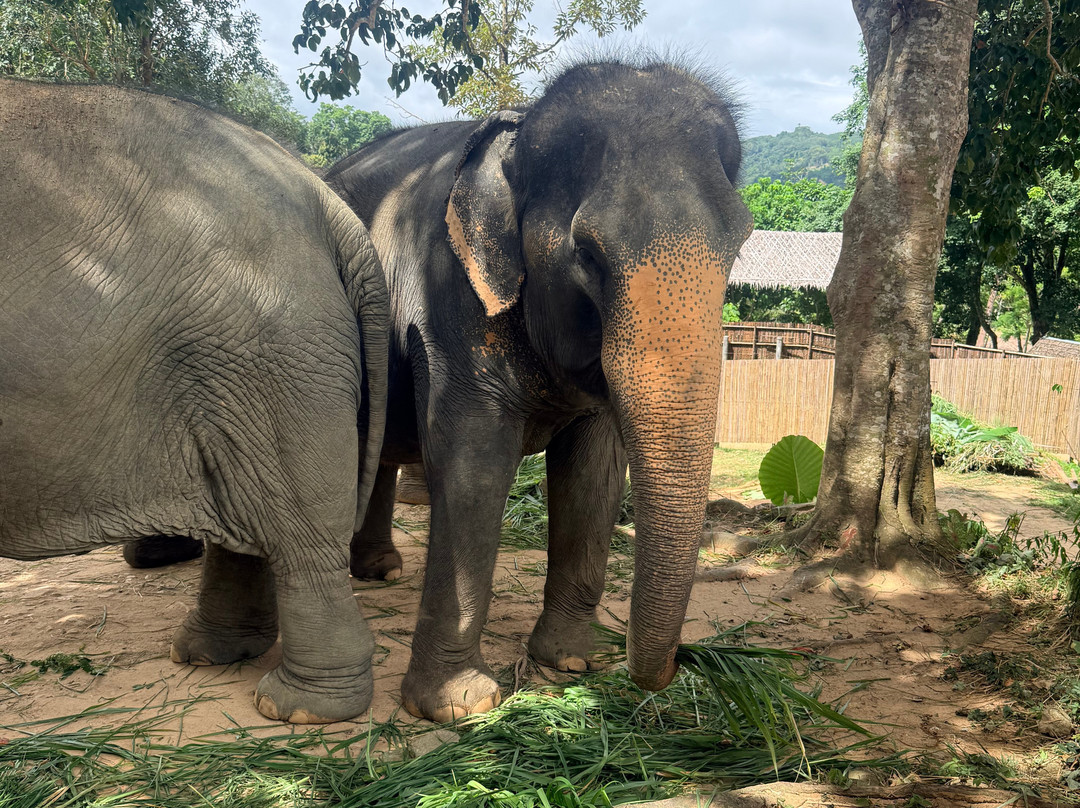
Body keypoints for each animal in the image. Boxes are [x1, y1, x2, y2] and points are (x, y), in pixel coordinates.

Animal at [0, 80, 388, 724]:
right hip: (239, 367)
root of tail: (324, 201)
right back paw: (209, 655)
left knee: (296, 525)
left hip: (269, 355)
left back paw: (298, 708)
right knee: (245, 509)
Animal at [321, 58, 753, 722]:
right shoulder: (450, 300)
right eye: (588, 254)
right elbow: (473, 464)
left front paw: (572, 662)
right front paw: (460, 706)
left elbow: (593, 472)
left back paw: (379, 571)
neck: (522, 131)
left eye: (740, 244)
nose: (679, 664)